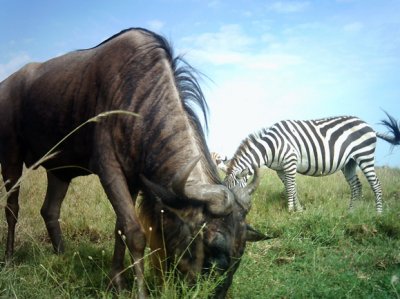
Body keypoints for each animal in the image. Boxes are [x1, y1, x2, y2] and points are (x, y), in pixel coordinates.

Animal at [225, 112, 400, 213]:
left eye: (234, 192)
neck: (271, 146)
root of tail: (369, 126)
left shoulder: (290, 162)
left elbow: (290, 188)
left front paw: (290, 211)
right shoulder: (280, 170)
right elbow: (291, 188)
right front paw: (299, 210)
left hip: (365, 156)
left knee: (376, 184)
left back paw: (378, 213)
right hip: (349, 162)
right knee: (356, 185)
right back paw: (351, 212)